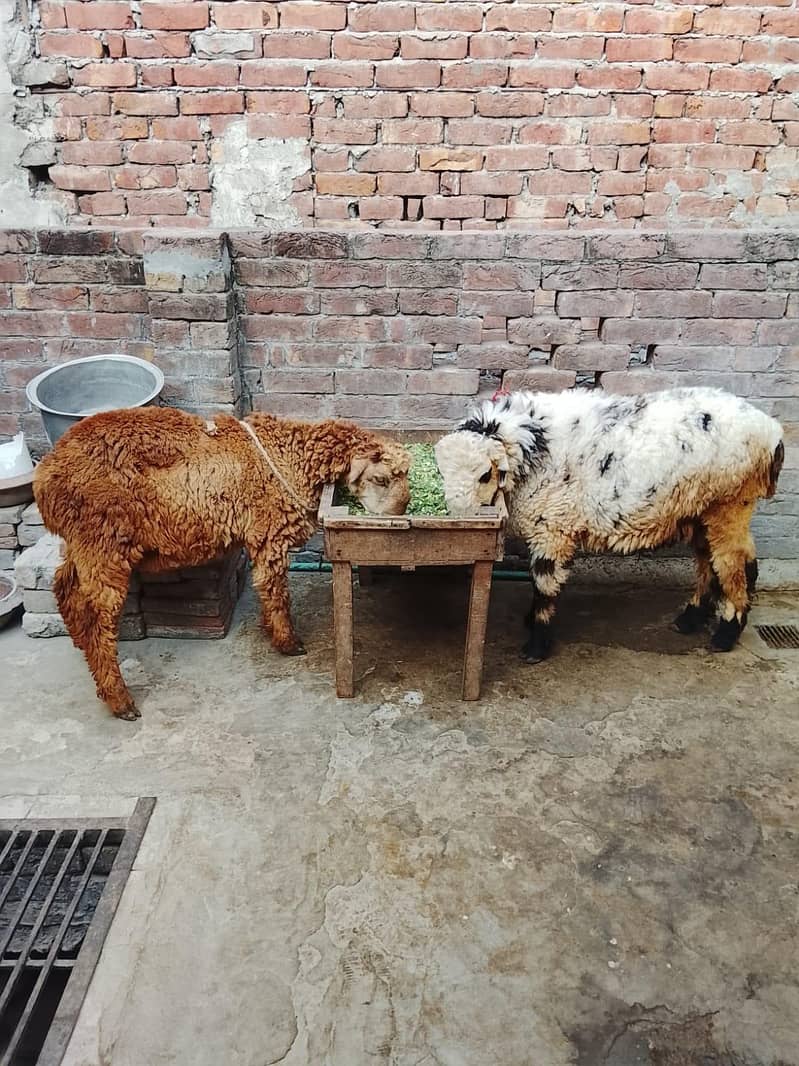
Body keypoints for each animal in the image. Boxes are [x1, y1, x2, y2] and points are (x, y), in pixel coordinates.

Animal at [34, 406, 410, 720]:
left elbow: (266, 588)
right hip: (101, 540)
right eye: (380, 478)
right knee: (96, 617)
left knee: (66, 591)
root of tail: (45, 478)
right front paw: (288, 642)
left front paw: (270, 630)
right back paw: (119, 699)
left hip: (83, 544)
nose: (399, 514)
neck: (290, 455)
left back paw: (83, 650)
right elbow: (277, 591)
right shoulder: (269, 533)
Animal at [434, 387, 784, 662]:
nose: (460, 515)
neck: (533, 446)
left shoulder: (553, 528)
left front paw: (537, 642)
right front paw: (531, 622)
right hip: (700, 509)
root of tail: (773, 433)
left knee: (734, 566)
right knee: (711, 561)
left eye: (485, 474)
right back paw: (690, 619)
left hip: (730, 503)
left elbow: (544, 585)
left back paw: (725, 634)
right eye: (440, 471)